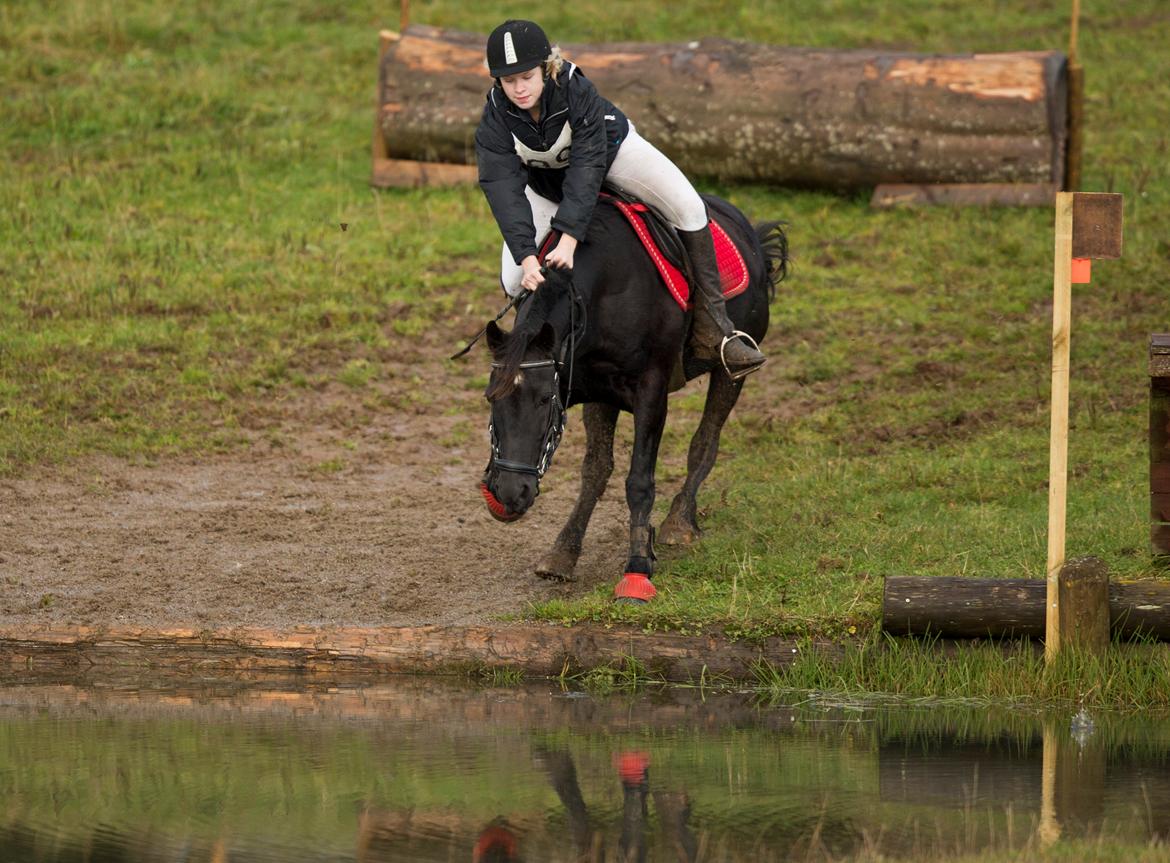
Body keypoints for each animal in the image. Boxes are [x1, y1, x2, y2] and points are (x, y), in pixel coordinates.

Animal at [479, 194, 790, 598]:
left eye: (545, 400)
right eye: (491, 399)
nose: (511, 492)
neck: (602, 293)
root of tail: (749, 232)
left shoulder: (652, 393)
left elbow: (640, 480)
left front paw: (638, 568)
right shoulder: (596, 392)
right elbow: (595, 471)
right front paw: (563, 553)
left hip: (730, 372)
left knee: (705, 441)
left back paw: (680, 521)